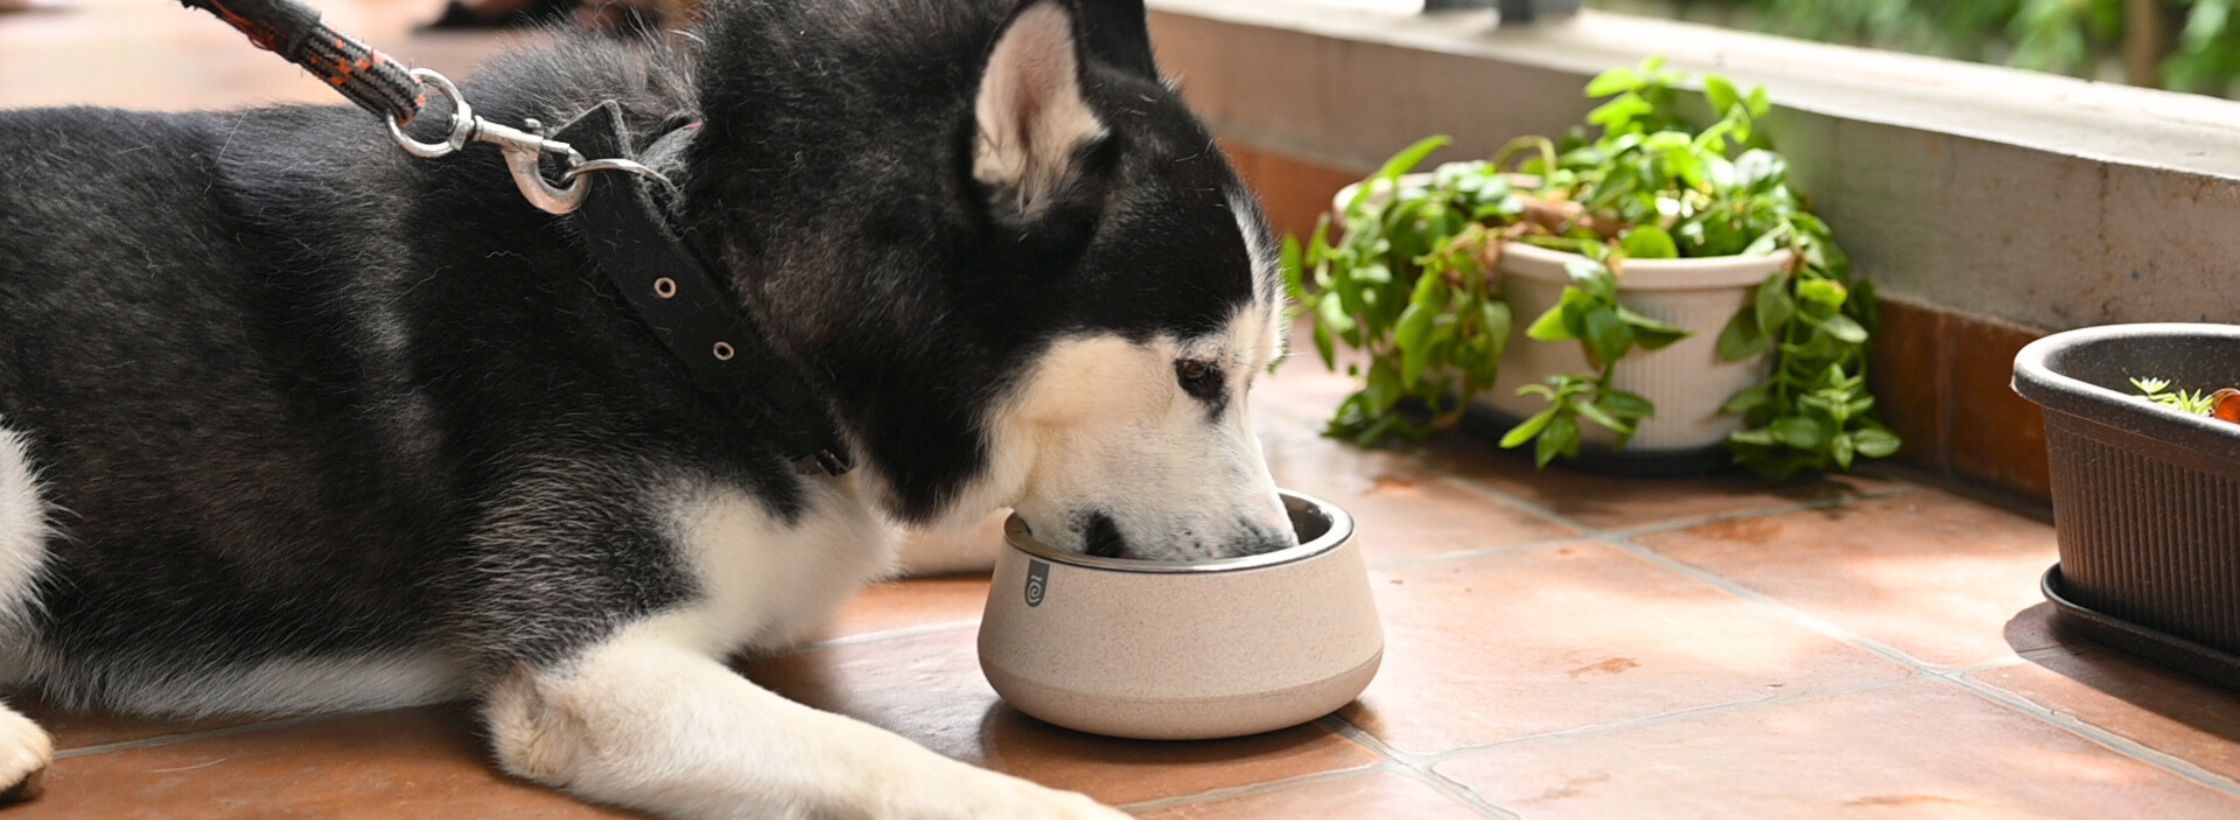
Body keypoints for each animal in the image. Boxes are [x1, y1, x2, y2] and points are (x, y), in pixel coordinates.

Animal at [0, 0, 1299, 815]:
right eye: (1197, 374)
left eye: (1258, 371)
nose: (1269, 547)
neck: (706, 292)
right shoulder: (594, 668)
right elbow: (884, 761)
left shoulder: (837, 509)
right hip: (17, 474)